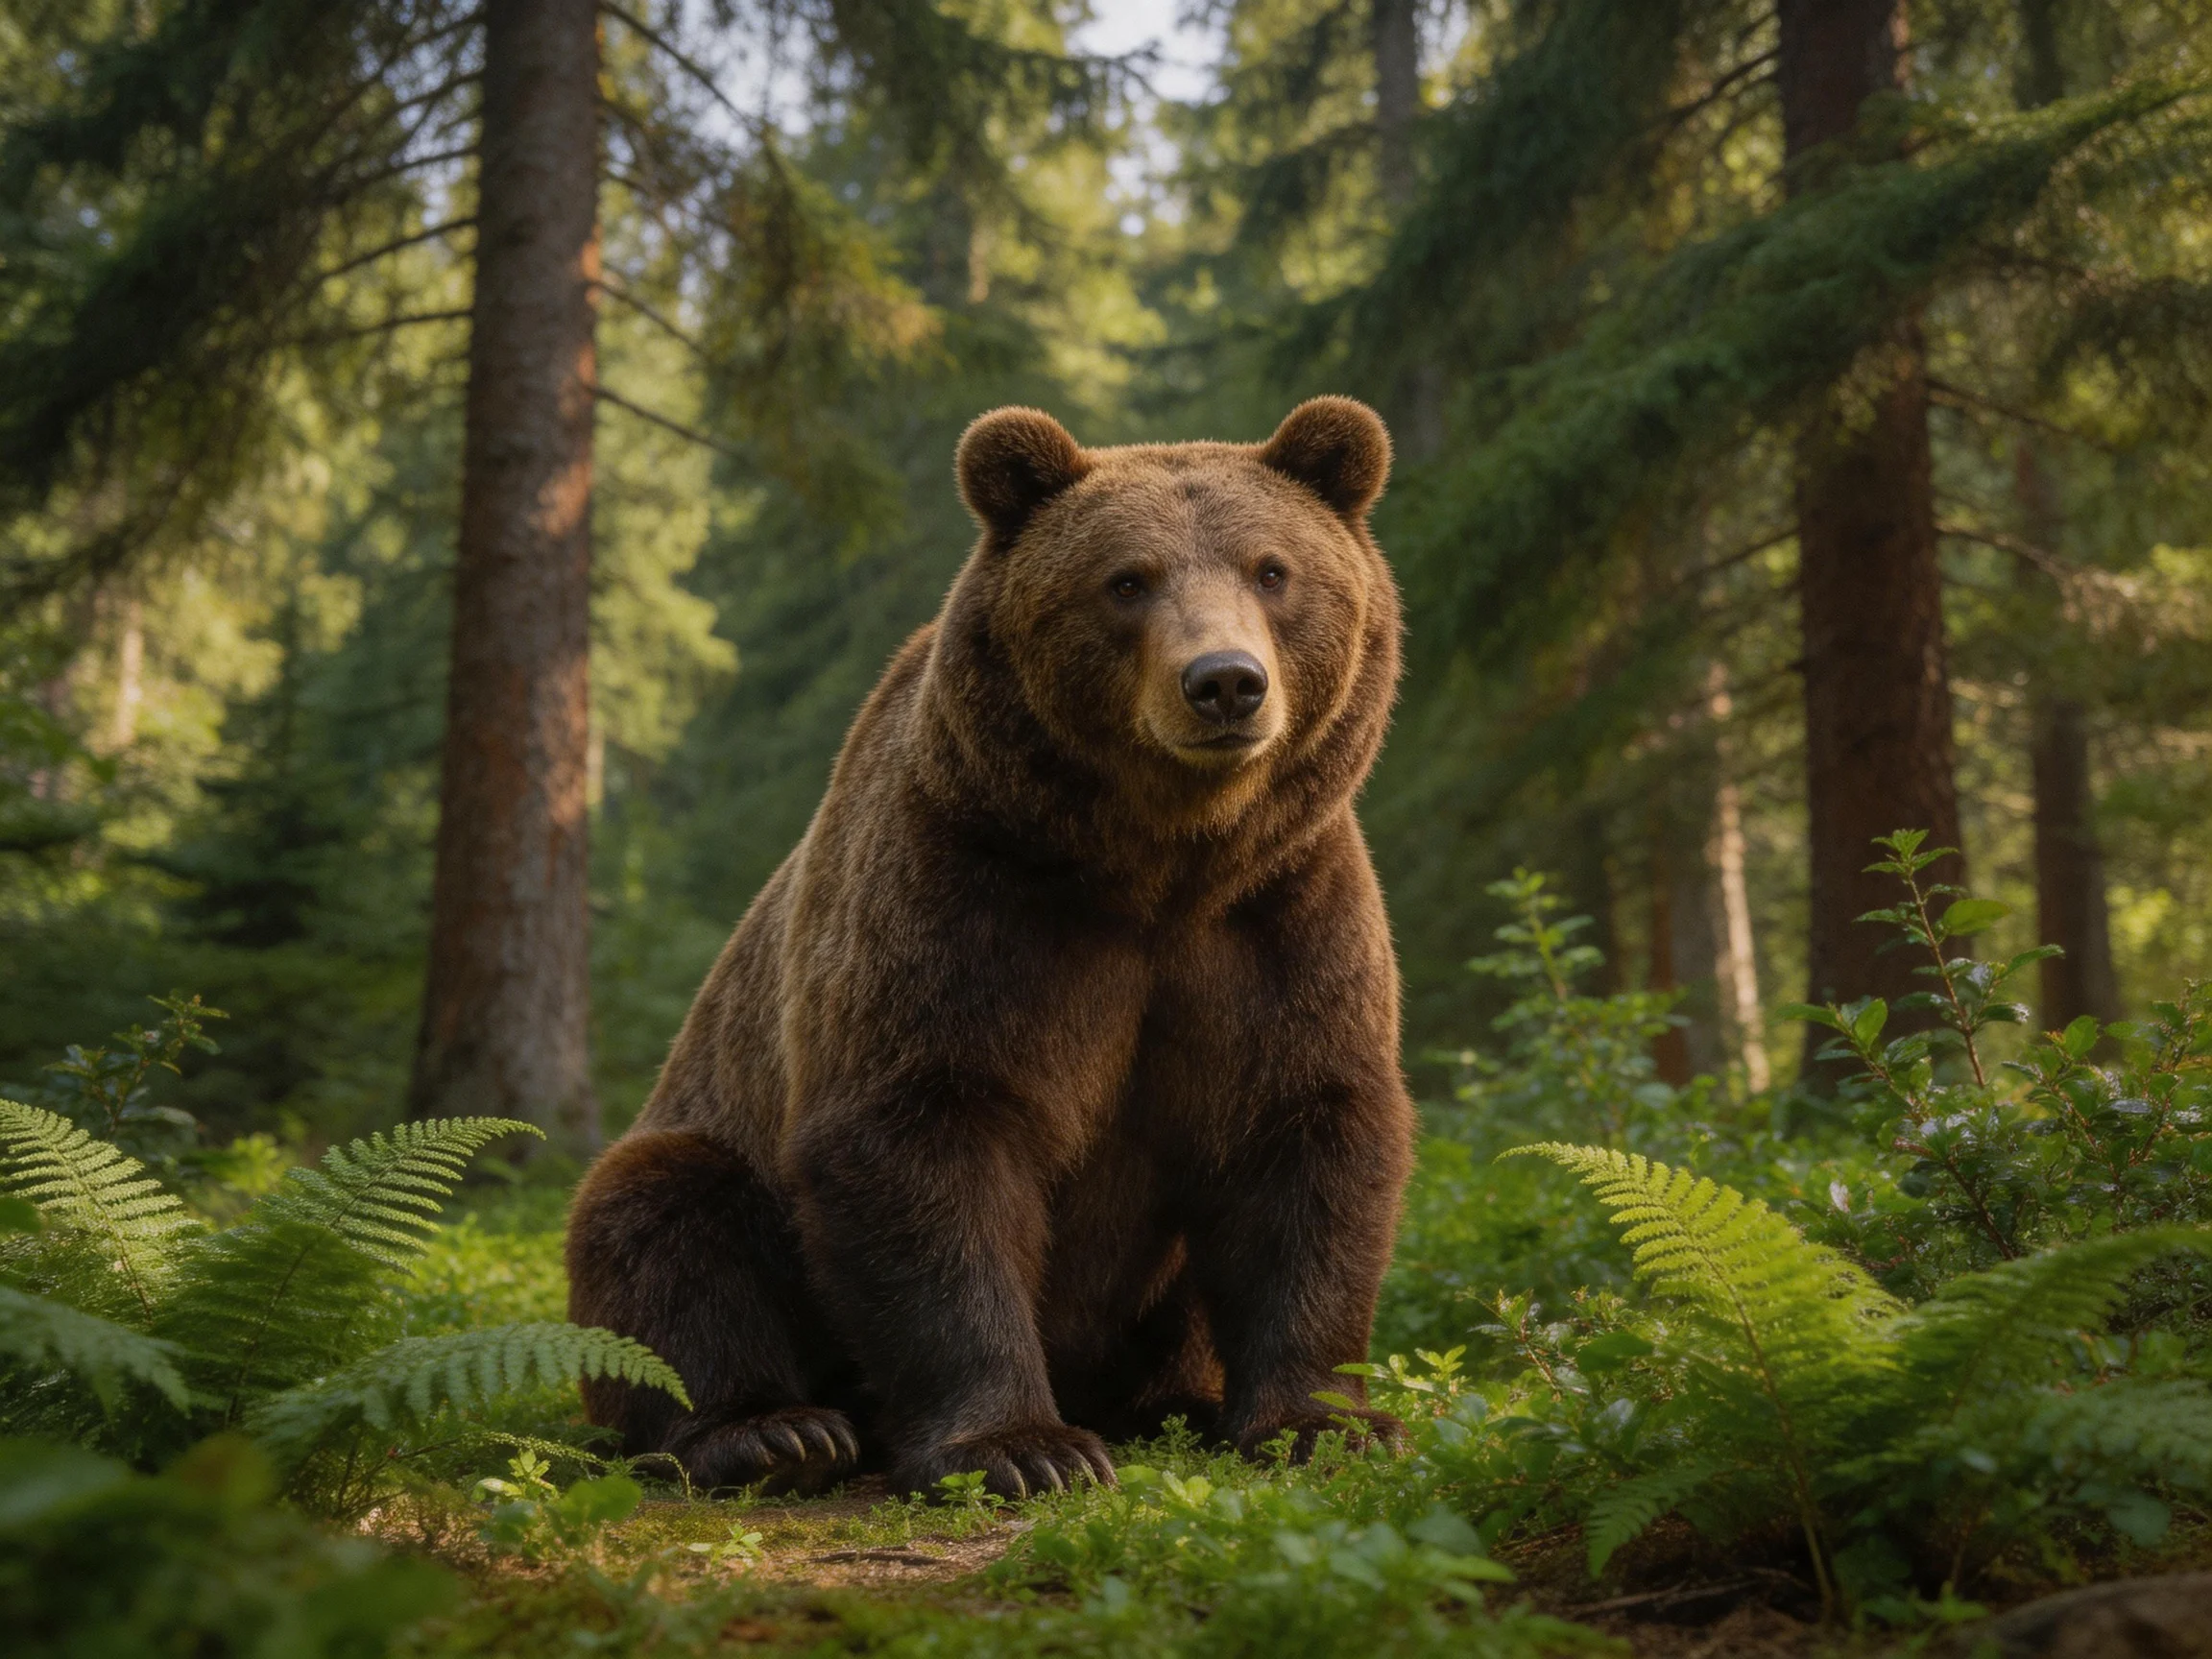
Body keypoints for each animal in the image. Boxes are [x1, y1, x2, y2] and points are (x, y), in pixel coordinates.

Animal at [565, 396, 1416, 1501]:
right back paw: (774, 1431)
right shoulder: (965, 899)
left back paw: (1179, 1400)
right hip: (714, 1134)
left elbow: (1306, 1135)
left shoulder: (1278, 917)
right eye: (1127, 580)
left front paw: (1325, 1421)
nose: (1226, 683)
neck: (1157, 867)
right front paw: (1020, 1445)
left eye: (1273, 570)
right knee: (661, 1217)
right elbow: (927, 1132)